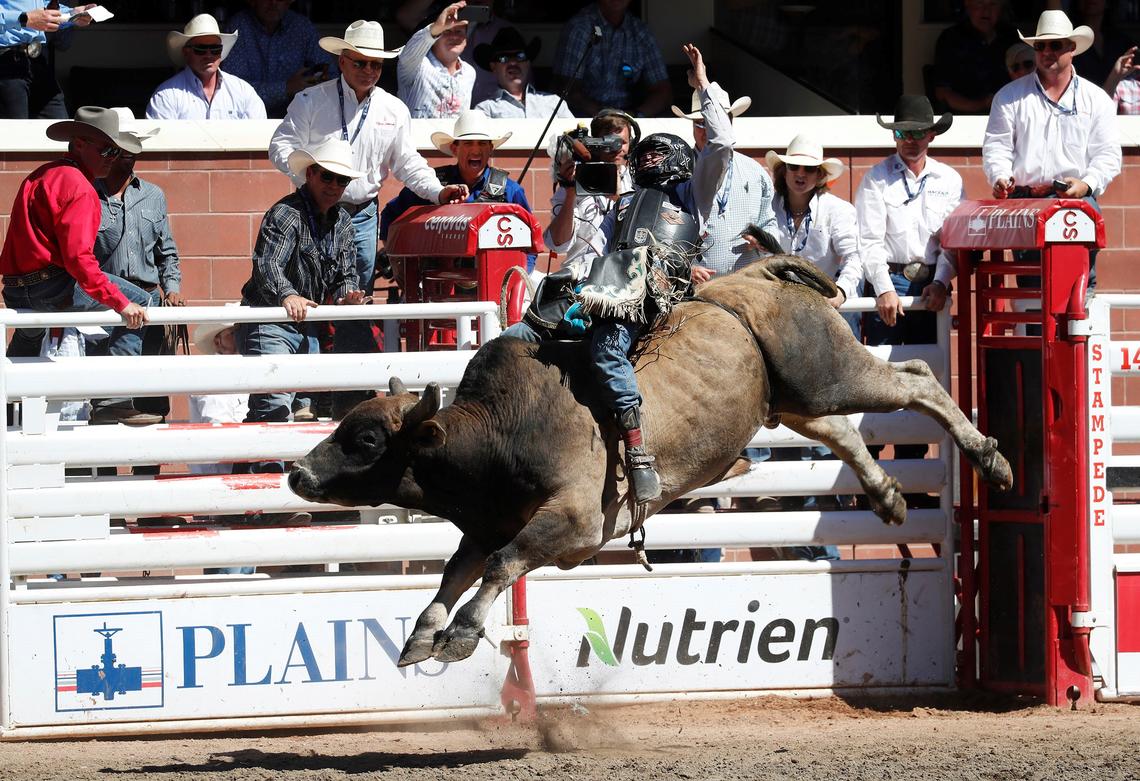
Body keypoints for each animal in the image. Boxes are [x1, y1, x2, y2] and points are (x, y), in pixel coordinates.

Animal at [287, 255, 1016, 665]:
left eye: (368, 441)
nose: (297, 473)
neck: (501, 432)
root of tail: (752, 276)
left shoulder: (573, 525)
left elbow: (498, 566)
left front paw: (461, 634)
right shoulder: (489, 523)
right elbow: (454, 571)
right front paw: (421, 636)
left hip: (829, 370)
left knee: (918, 379)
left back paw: (991, 460)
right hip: (794, 398)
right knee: (840, 429)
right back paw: (887, 494)